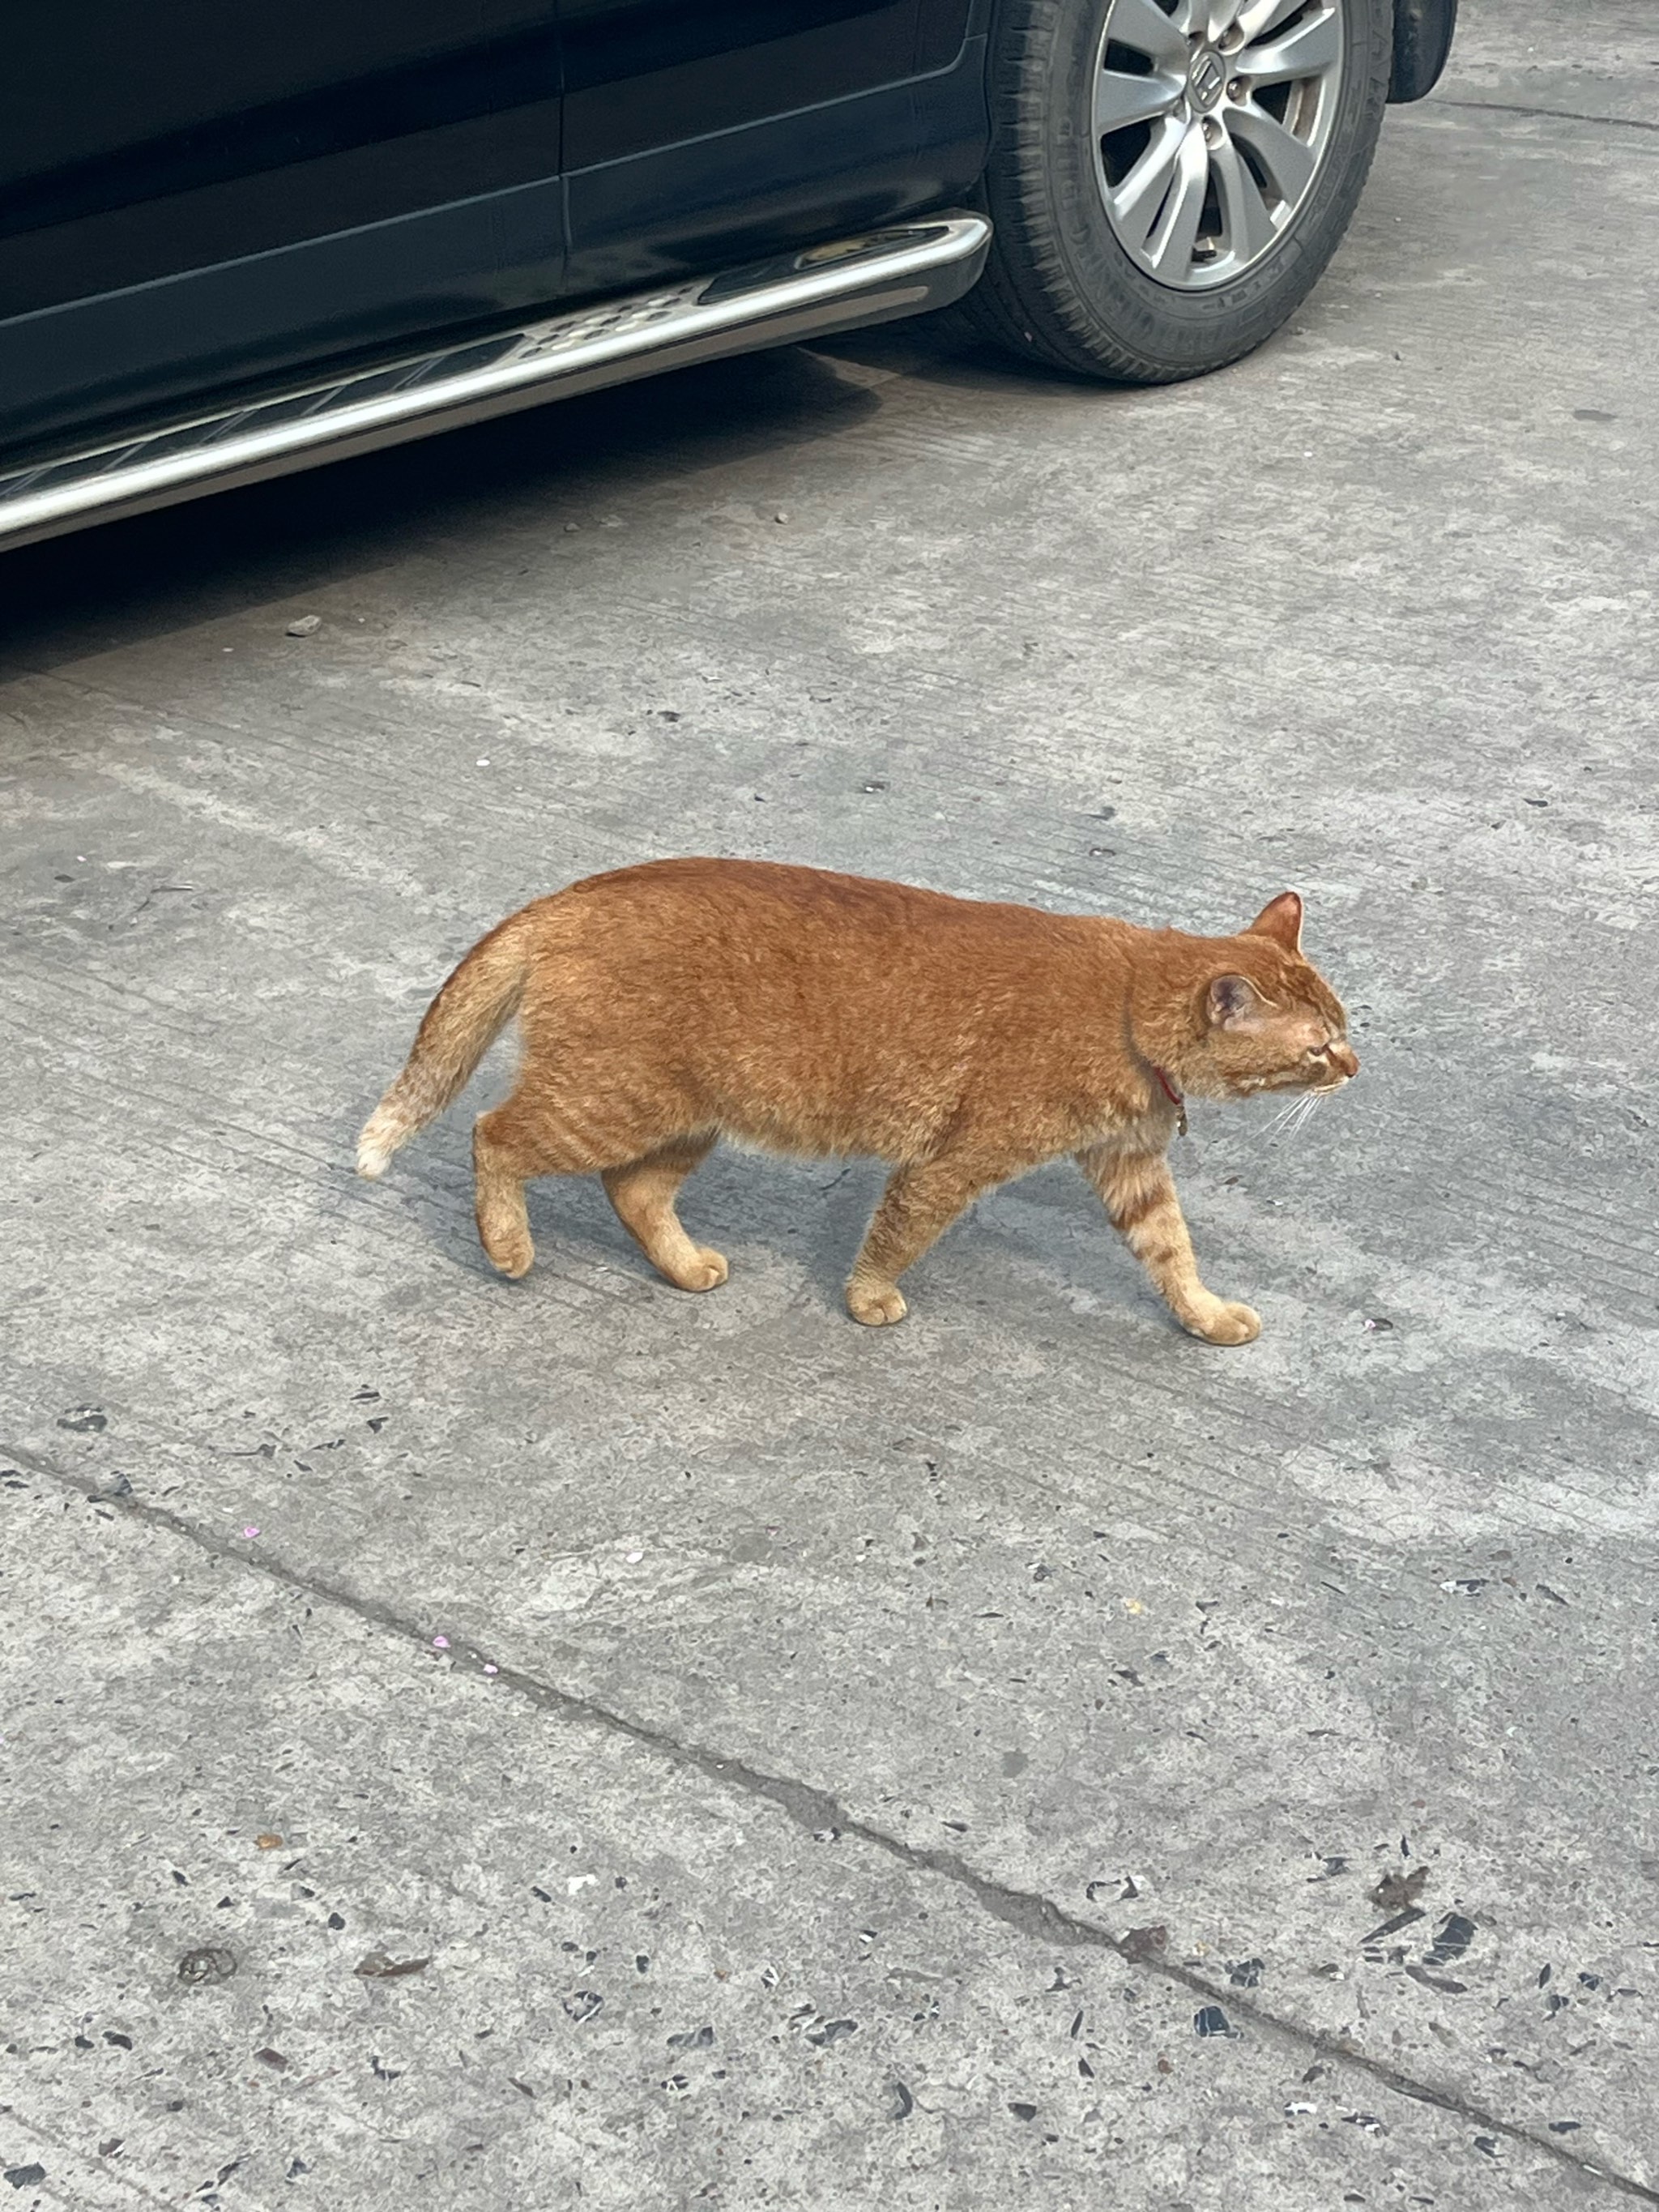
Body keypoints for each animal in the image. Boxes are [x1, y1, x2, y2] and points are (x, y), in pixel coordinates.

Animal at [358, 858, 1354, 1344]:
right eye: (1317, 1044)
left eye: (1344, 1024)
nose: (1353, 1067)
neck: (1126, 1009)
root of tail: (567, 897)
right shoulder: (949, 1163)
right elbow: (896, 1235)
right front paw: (870, 1301)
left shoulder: (1129, 1167)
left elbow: (1172, 1254)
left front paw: (1206, 1318)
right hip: (608, 1103)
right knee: (492, 1136)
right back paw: (508, 1247)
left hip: (688, 1117)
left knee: (633, 1192)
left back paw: (684, 1268)